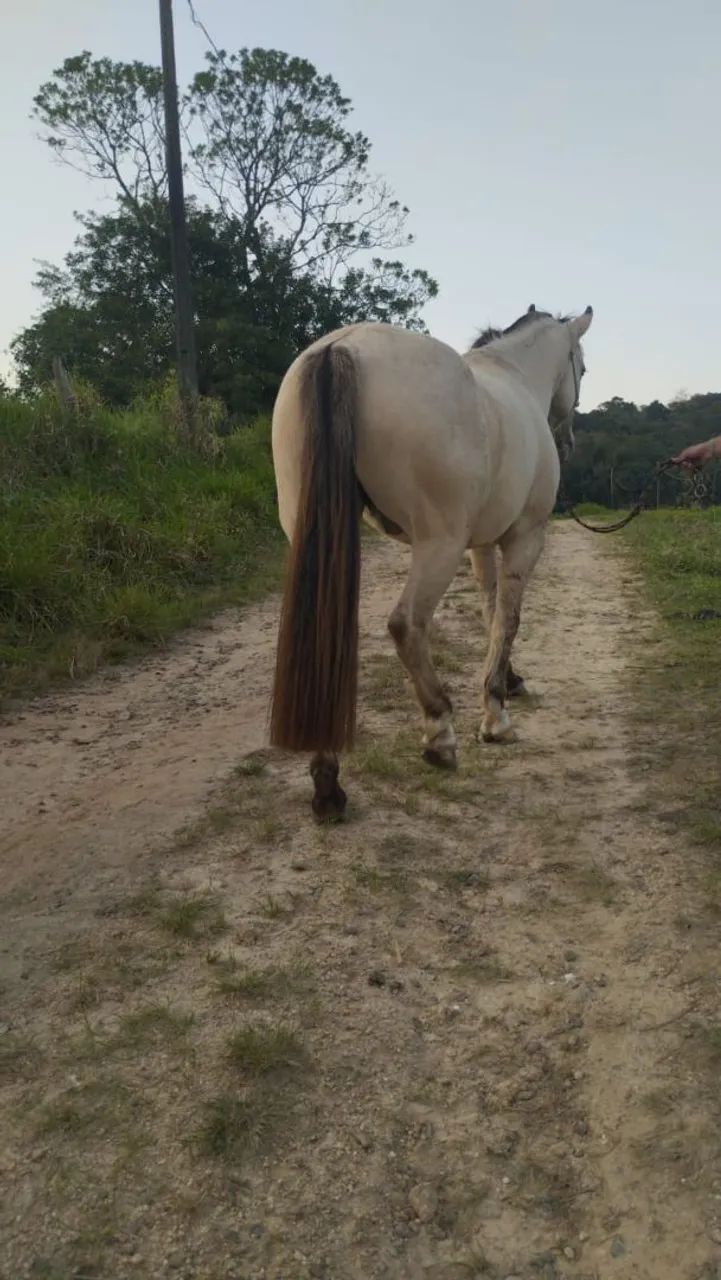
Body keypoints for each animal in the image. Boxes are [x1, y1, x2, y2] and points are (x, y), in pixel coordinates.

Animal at [269, 304, 593, 819]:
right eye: (582, 366)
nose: (569, 441)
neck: (514, 377)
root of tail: (343, 347)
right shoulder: (523, 539)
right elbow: (509, 618)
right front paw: (496, 716)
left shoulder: (481, 544)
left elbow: (490, 612)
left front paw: (509, 681)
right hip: (437, 544)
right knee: (406, 625)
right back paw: (440, 736)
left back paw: (327, 785)